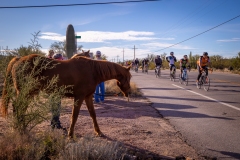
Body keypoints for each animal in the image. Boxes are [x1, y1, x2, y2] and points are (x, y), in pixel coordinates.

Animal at [0, 53, 131, 138]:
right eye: (129, 77)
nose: (129, 92)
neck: (92, 71)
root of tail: (18, 59)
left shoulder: (88, 97)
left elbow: (93, 115)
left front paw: (98, 132)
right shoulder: (79, 97)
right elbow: (74, 116)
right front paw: (70, 135)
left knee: (19, 108)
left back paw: (20, 128)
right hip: (26, 93)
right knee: (18, 108)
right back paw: (20, 129)